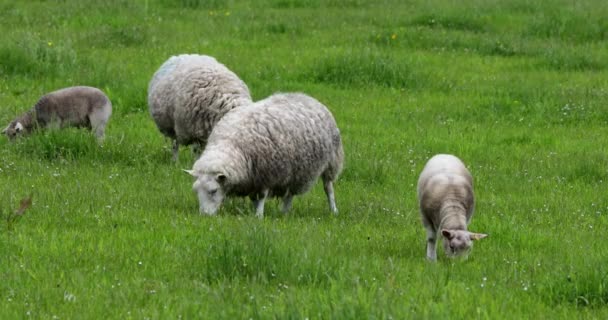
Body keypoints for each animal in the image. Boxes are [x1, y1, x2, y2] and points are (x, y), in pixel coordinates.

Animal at [183, 92, 344, 218]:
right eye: (196, 191)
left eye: (213, 191)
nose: (204, 216)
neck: (230, 144)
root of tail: (309, 98)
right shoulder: (252, 179)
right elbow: (255, 198)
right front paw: (256, 212)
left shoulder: (266, 174)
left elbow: (261, 197)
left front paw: (258, 216)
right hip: (297, 169)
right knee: (290, 193)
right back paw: (284, 213)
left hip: (331, 162)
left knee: (328, 188)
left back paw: (334, 210)